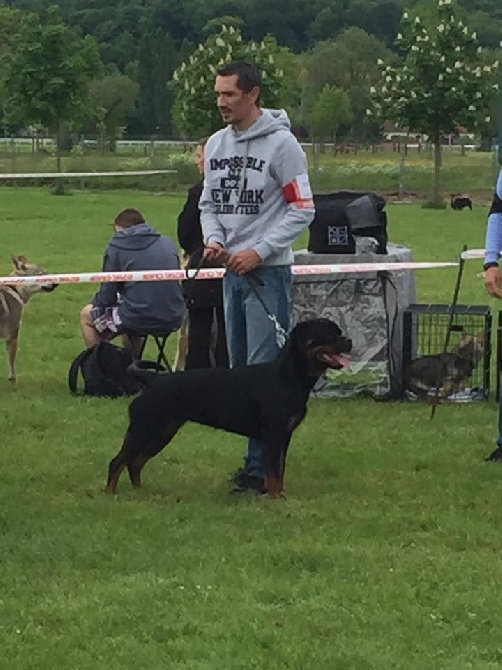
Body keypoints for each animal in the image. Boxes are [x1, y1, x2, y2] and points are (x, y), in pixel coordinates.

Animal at [0, 256, 57, 384]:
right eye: (41, 274)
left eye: (46, 272)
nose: (57, 282)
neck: (15, 289)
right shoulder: (13, 337)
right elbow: (12, 363)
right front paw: (13, 380)